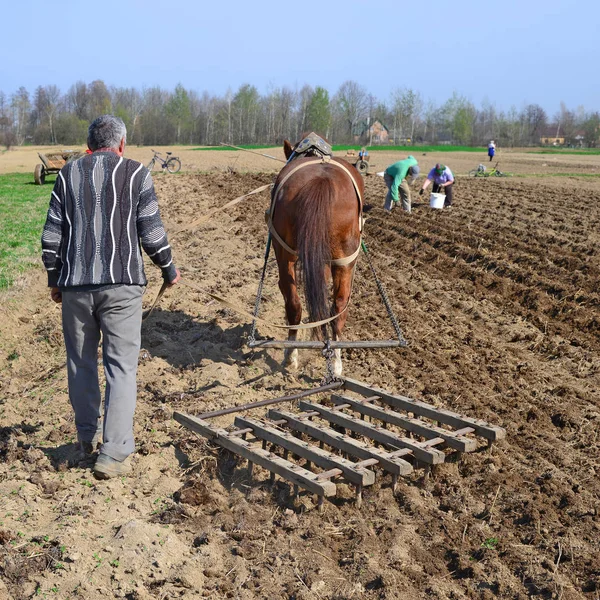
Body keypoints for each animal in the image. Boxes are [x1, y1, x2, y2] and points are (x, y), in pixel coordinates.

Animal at [268, 136, 366, 376]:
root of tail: (322, 180)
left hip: (285, 253)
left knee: (293, 303)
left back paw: (290, 356)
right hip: (345, 259)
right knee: (338, 308)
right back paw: (336, 364)